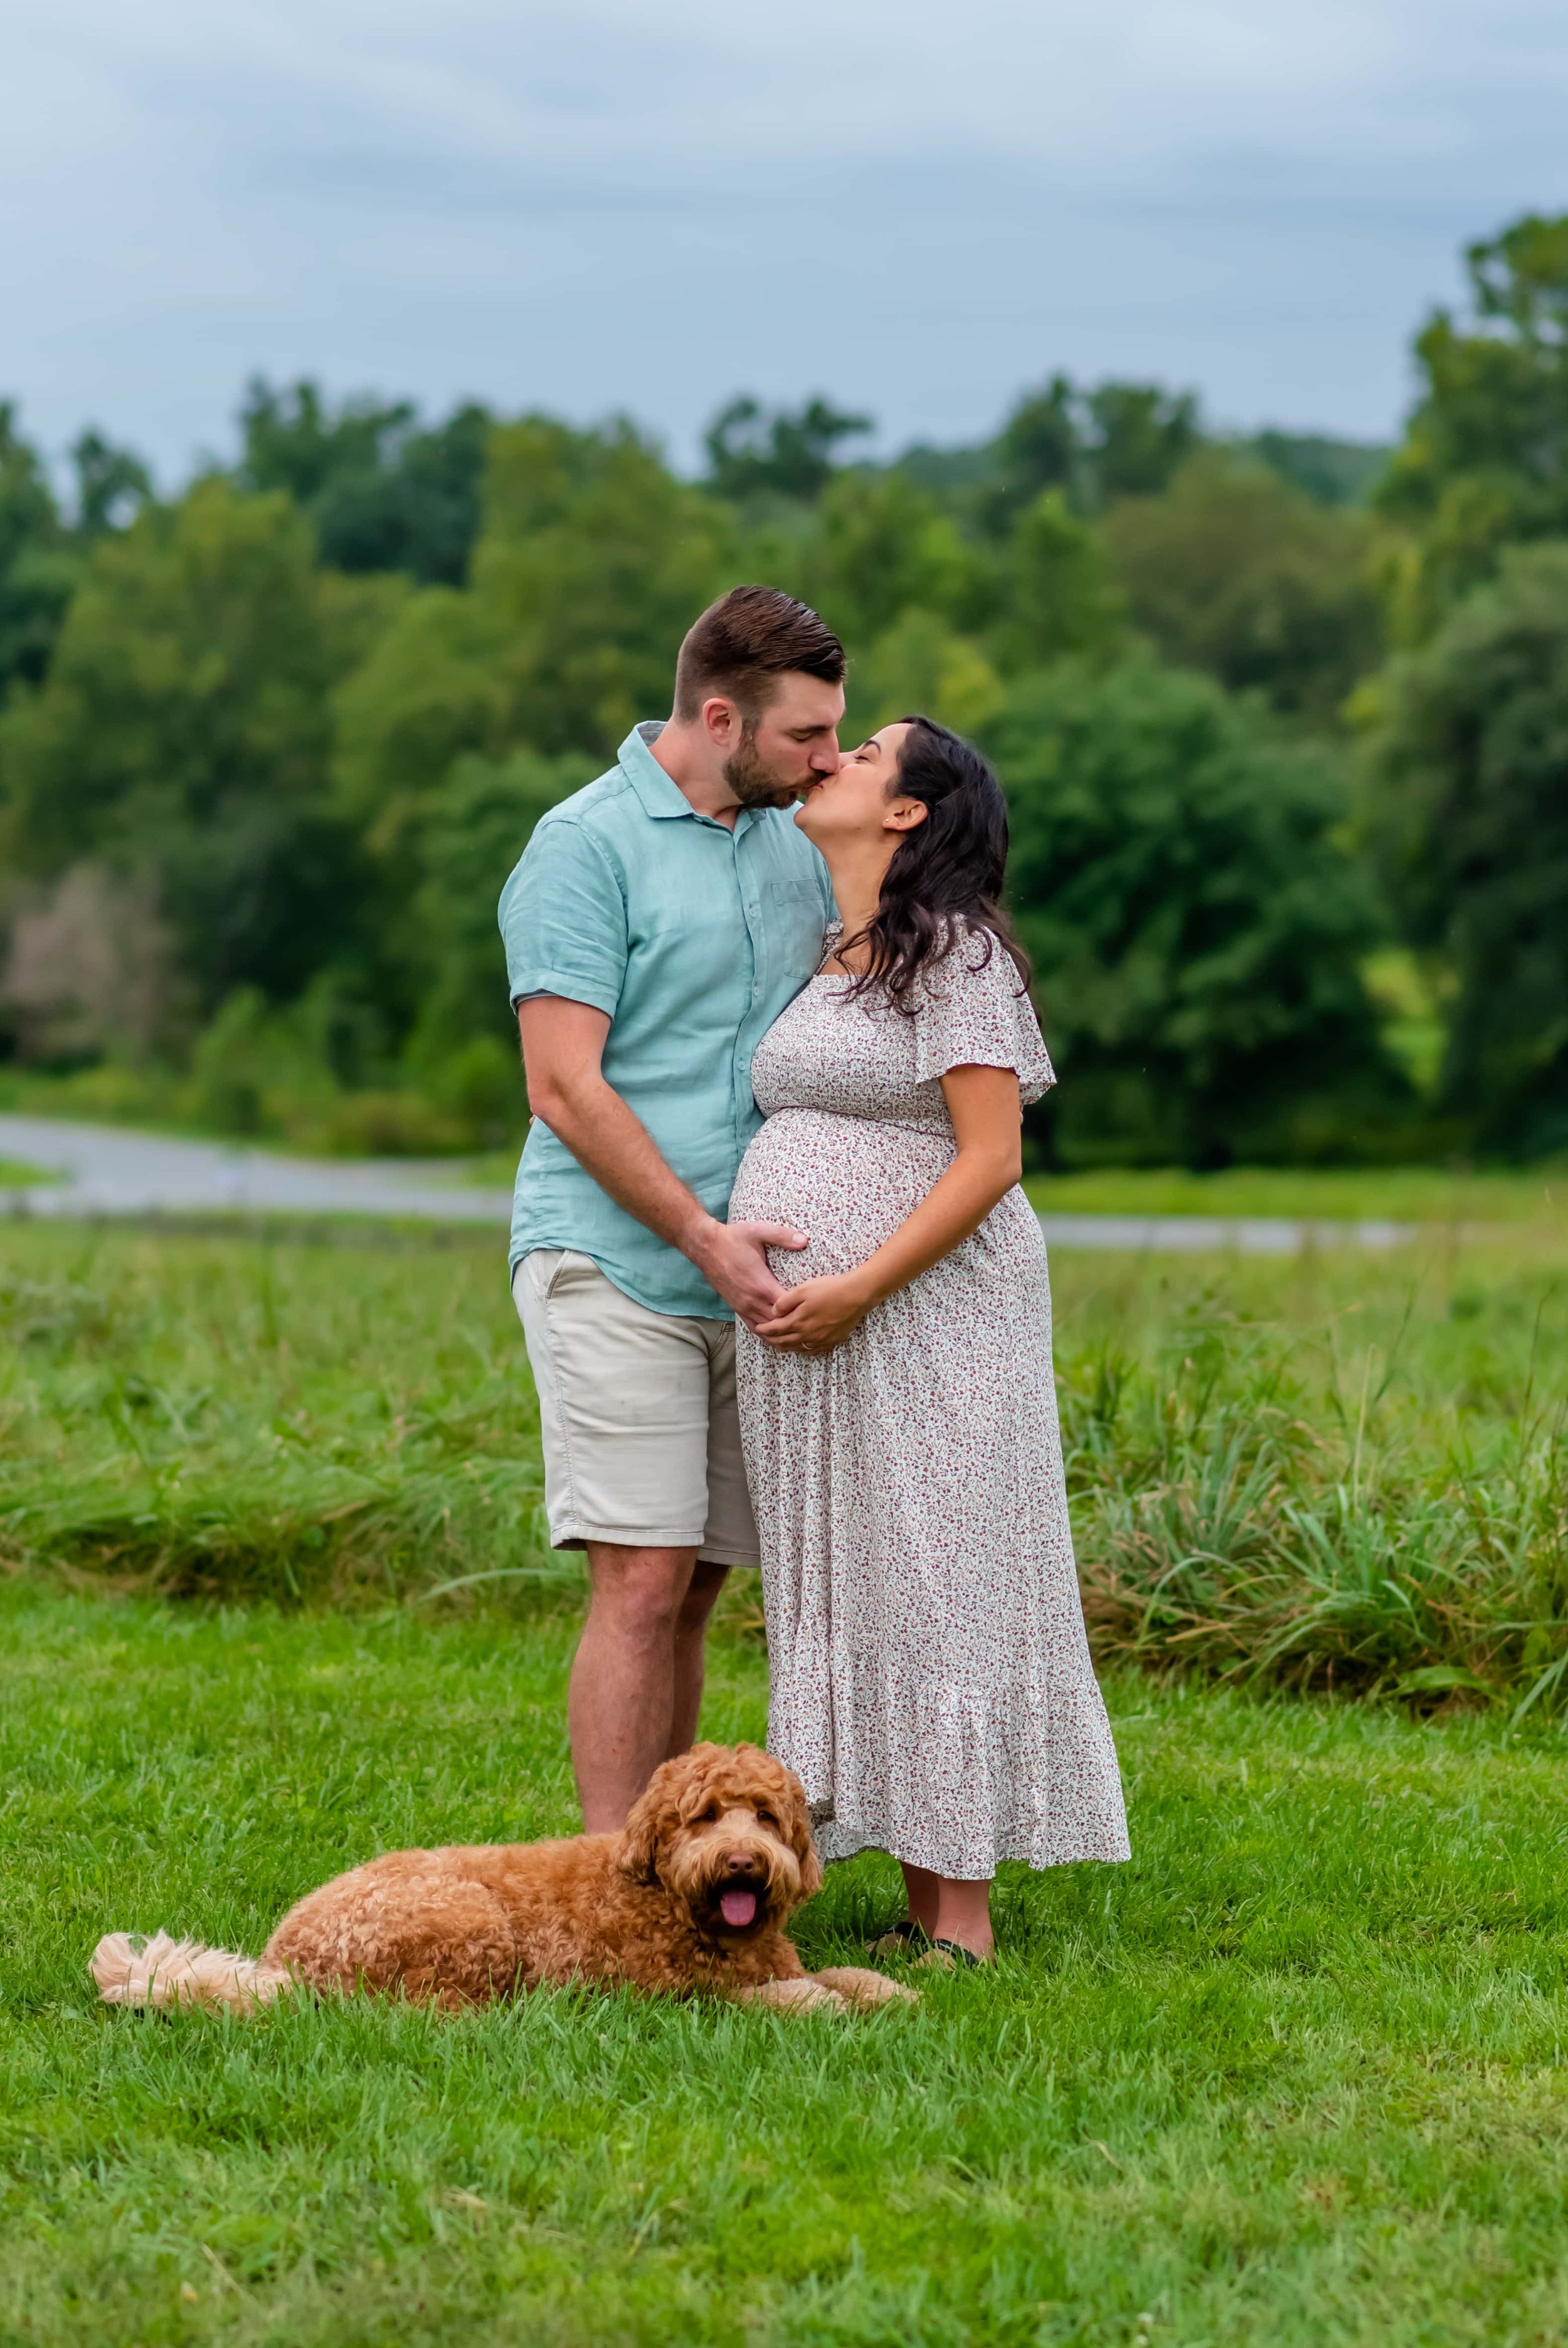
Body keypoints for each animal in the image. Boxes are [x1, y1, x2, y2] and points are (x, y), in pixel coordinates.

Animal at [92, 1747, 911, 2019]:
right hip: (468, 1919)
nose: (741, 1863)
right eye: (704, 1817)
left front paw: (891, 1991)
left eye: (766, 1817)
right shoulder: (678, 1993)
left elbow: (850, 1976)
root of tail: (282, 1964)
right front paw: (823, 2005)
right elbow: (787, 1996)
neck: (667, 1898)